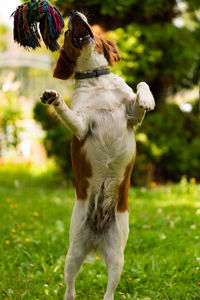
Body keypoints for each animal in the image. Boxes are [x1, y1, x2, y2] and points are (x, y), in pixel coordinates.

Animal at [40, 10, 155, 300]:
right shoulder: (82, 126)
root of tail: (96, 238)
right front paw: (54, 98)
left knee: (109, 292)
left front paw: (147, 99)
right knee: (70, 288)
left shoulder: (132, 117)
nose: (73, 13)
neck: (96, 79)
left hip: (117, 257)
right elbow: (69, 114)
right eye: (67, 32)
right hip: (73, 253)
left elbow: (141, 84)